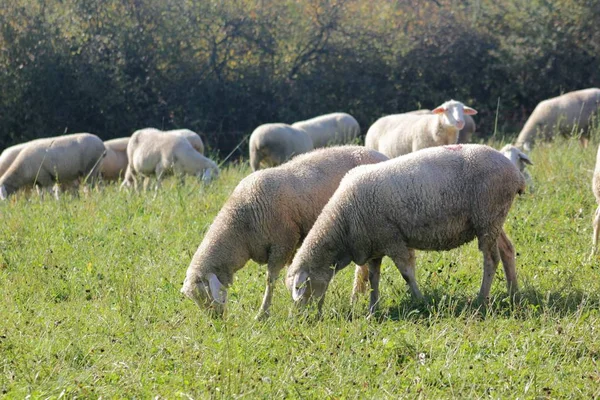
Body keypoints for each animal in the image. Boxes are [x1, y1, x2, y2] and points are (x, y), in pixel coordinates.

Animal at [180, 145, 390, 318]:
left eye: (204, 294)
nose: (215, 321)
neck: (240, 228)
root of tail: (382, 155)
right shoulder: (291, 245)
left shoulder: (282, 243)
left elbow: (270, 281)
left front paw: (263, 313)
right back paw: (357, 296)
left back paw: (356, 296)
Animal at [286, 144, 524, 316]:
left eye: (301, 289)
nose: (302, 318)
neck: (342, 223)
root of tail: (515, 173)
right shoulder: (375, 246)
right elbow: (373, 279)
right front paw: (373, 310)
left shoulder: (393, 240)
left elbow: (407, 274)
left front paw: (420, 300)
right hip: (491, 220)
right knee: (506, 250)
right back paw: (513, 293)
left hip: (488, 215)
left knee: (490, 259)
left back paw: (481, 298)